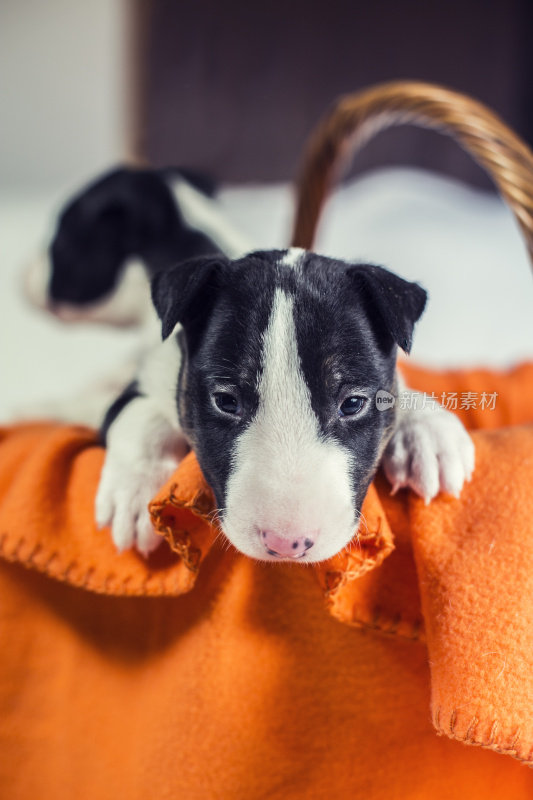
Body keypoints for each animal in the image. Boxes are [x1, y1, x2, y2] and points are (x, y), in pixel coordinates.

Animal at [95, 247, 474, 560]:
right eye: (225, 401)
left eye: (352, 404)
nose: (286, 544)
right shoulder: (152, 376)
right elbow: (141, 416)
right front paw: (132, 495)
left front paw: (427, 436)